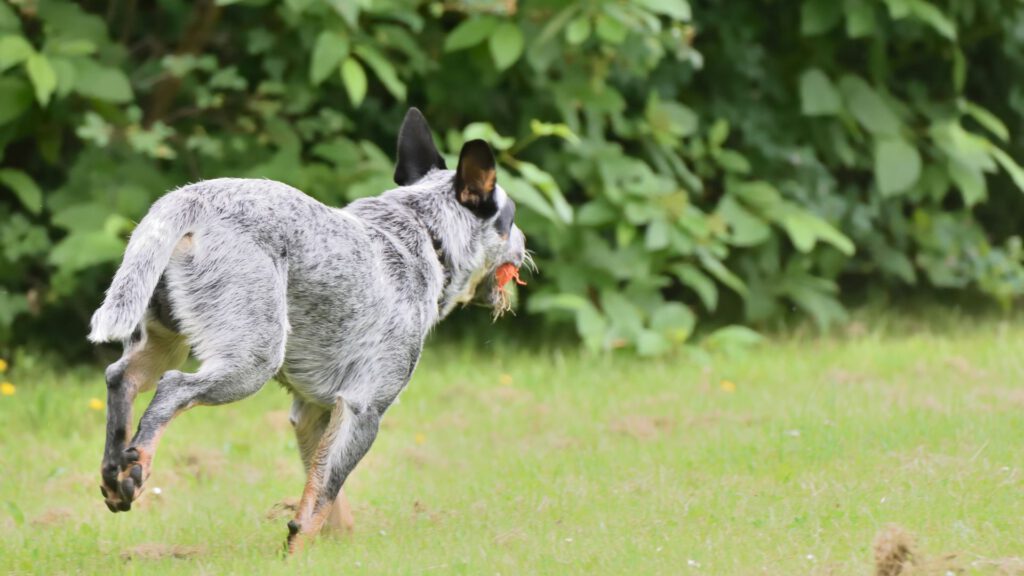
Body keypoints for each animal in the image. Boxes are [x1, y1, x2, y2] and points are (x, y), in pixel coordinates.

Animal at [87, 107, 528, 553]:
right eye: (509, 220)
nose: (526, 245)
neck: (424, 232)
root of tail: (190, 198)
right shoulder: (363, 408)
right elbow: (323, 496)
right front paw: (297, 551)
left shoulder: (313, 412)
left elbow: (326, 498)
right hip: (252, 361)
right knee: (172, 389)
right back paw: (139, 463)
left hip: (163, 340)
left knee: (121, 377)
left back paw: (116, 474)